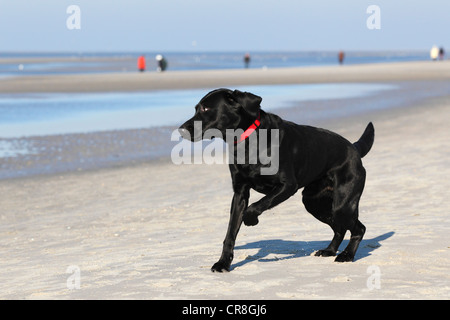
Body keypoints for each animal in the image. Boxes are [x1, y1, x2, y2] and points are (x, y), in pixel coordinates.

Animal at [178, 88, 374, 272]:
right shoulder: (240, 193)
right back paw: (329, 250)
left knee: (359, 228)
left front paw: (251, 219)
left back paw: (346, 255)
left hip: (342, 205)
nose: (180, 129)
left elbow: (259, 204)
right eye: (196, 108)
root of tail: (354, 148)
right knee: (340, 228)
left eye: (205, 108)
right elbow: (231, 233)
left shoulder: (287, 186)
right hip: (314, 203)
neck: (248, 142)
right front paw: (223, 263)